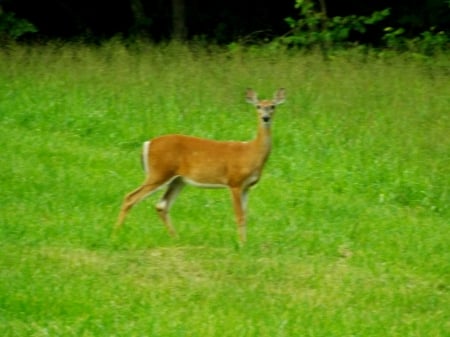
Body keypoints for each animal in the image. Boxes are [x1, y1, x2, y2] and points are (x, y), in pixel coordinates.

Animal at [115, 88, 284, 243]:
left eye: (273, 106)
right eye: (258, 106)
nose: (265, 118)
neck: (251, 152)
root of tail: (147, 144)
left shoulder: (247, 186)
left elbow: (245, 215)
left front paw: (245, 242)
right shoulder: (234, 182)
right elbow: (239, 215)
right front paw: (242, 244)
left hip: (177, 180)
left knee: (161, 205)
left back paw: (175, 238)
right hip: (159, 172)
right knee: (130, 197)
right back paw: (116, 233)